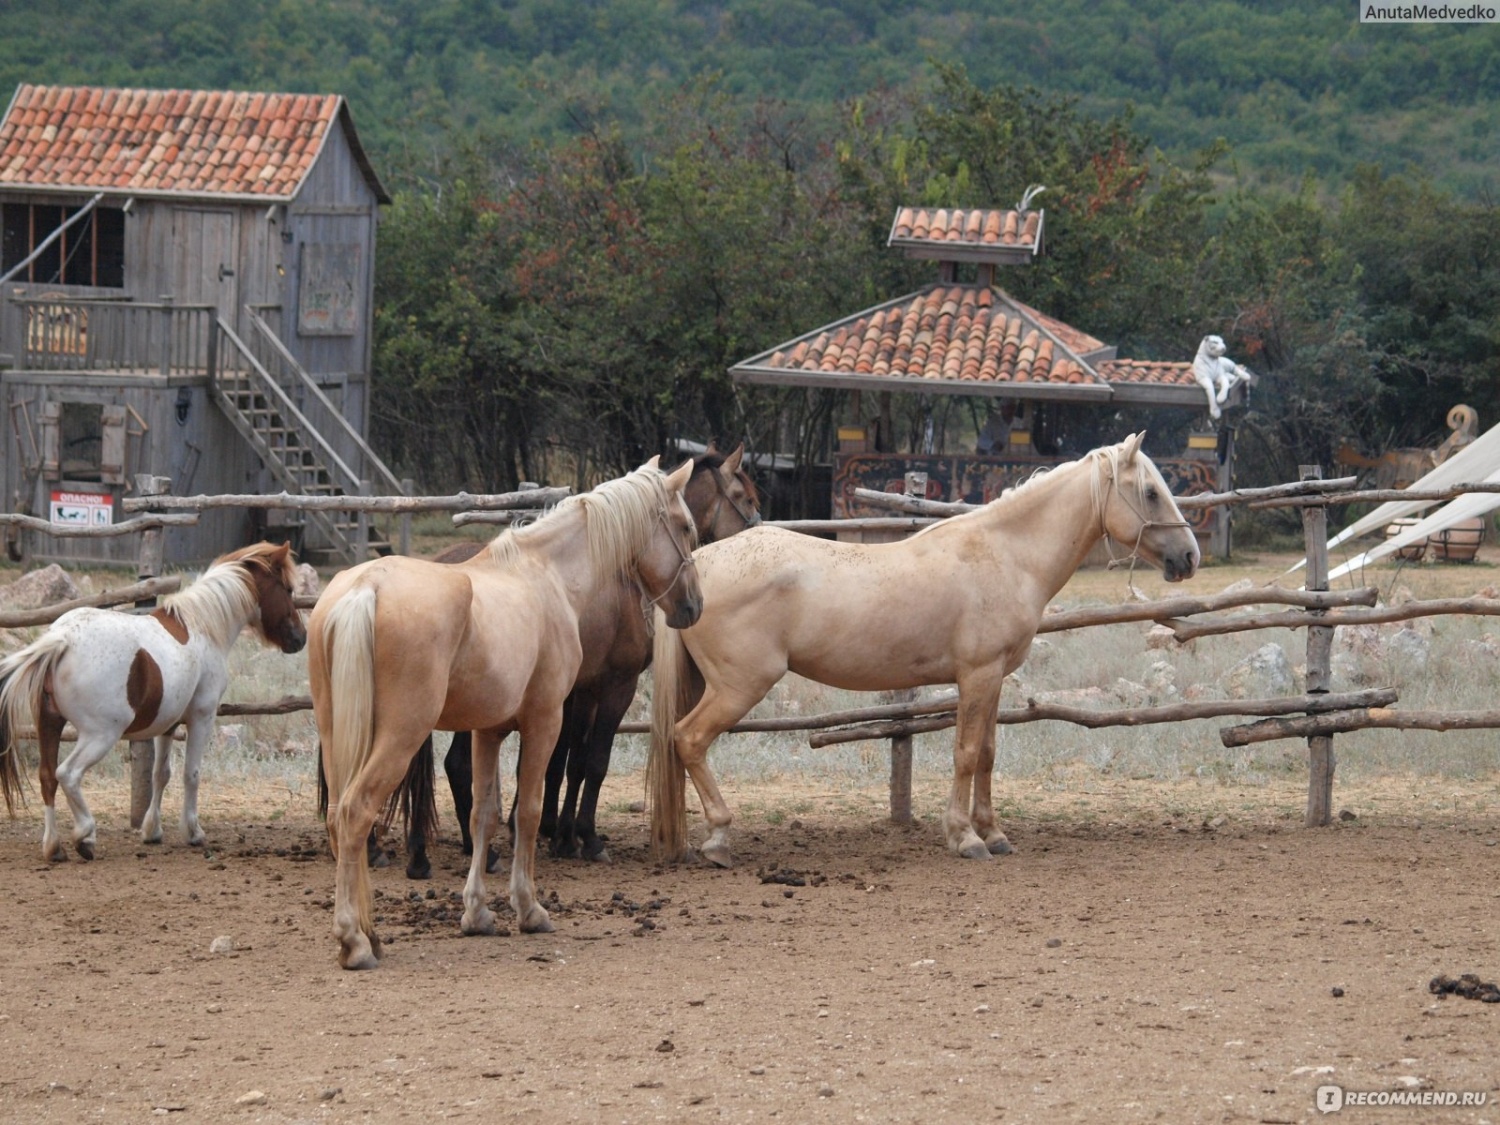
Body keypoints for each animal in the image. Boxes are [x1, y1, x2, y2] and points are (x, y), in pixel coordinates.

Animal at [0, 546, 304, 864]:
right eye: (288, 588)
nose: (300, 637)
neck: (201, 626)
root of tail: (63, 638)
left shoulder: (167, 725)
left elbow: (161, 775)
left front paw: (152, 831)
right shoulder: (202, 717)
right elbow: (191, 774)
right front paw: (193, 832)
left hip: (49, 724)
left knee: (48, 777)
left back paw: (54, 847)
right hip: (99, 736)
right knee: (67, 774)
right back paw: (85, 836)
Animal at [309, 459, 702, 972]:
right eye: (686, 527)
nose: (694, 606)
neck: (547, 576)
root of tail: (363, 590)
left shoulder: (488, 731)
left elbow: (484, 814)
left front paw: (476, 913)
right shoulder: (546, 721)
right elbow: (531, 810)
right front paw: (529, 909)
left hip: (339, 734)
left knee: (338, 819)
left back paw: (369, 934)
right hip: (400, 736)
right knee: (356, 812)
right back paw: (354, 941)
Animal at [651, 435, 1200, 870]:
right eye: (1151, 492)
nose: (1189, 556)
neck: (1005, 554)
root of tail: (698, 565)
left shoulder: (994, 679)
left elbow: (988, 755)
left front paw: (994, 833)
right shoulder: (977, 675)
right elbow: (966, 753)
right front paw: (965, 837)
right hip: (739, 687)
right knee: (689, 739)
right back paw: (719, 838)